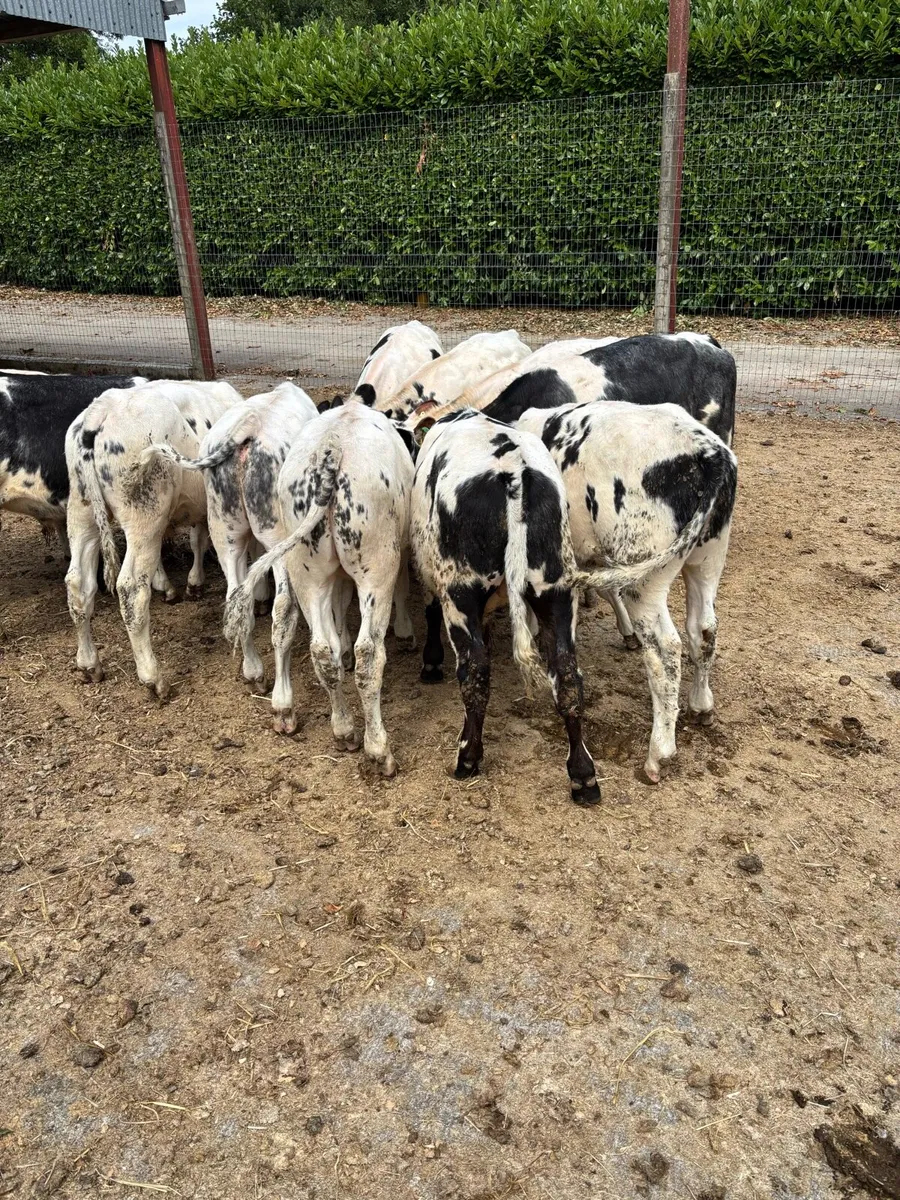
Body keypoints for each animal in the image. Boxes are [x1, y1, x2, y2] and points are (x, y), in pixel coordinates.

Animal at [64, 380, 242, 698]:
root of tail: (101, 409)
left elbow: (197, 540)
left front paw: (189, 583)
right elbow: (199, 539)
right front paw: (194, 582)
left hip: (81, 511)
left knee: (78, 584)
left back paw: (88, 664)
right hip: (145, 513)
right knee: (131, 589)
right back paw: (153, 677)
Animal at [146, 381, 321, 696]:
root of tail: (249, 427)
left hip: (225, 532)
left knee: (236, 600)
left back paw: (253, 671)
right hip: (278, 537)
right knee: (282, 608)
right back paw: (282, 697)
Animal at [224, 401, 414, 771]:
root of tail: (331, 451)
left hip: (306, 570)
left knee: (322, 651)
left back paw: (343, 729)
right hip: (376, 565)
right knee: (369, 654)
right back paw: (377, 748)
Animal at [410, 408, 688, 804]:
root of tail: (513, 473)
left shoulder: (430, 574)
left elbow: (433, 615)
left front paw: (431, 664)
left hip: (461, 590)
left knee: (475, 671)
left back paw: (468, 756)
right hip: (555, 589)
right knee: (568, 675)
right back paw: (583, 775)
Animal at [515, 401, 737, 783]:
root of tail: (708, 452)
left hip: (646, 576)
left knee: (665, 649)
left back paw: (659, 752)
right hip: (707, 559)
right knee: (704, 630)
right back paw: (701, 705)